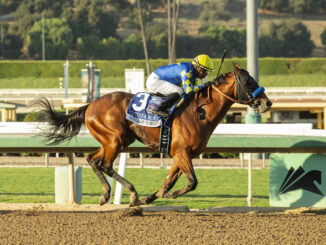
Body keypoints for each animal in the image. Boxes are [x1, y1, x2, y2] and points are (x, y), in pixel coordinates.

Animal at [37, 63, 272, 207]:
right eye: (249, 82)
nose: (267, 103)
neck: (200, 113)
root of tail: (91, 104)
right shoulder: (182, 152)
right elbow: (192, 182)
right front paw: (163, 196)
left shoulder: (180, 155)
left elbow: (170, 181)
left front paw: (152, 198)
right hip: (115, 139)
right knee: (105, 164)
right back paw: (131, 193)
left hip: (118, 140)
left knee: (92, 159)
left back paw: (105, 195)